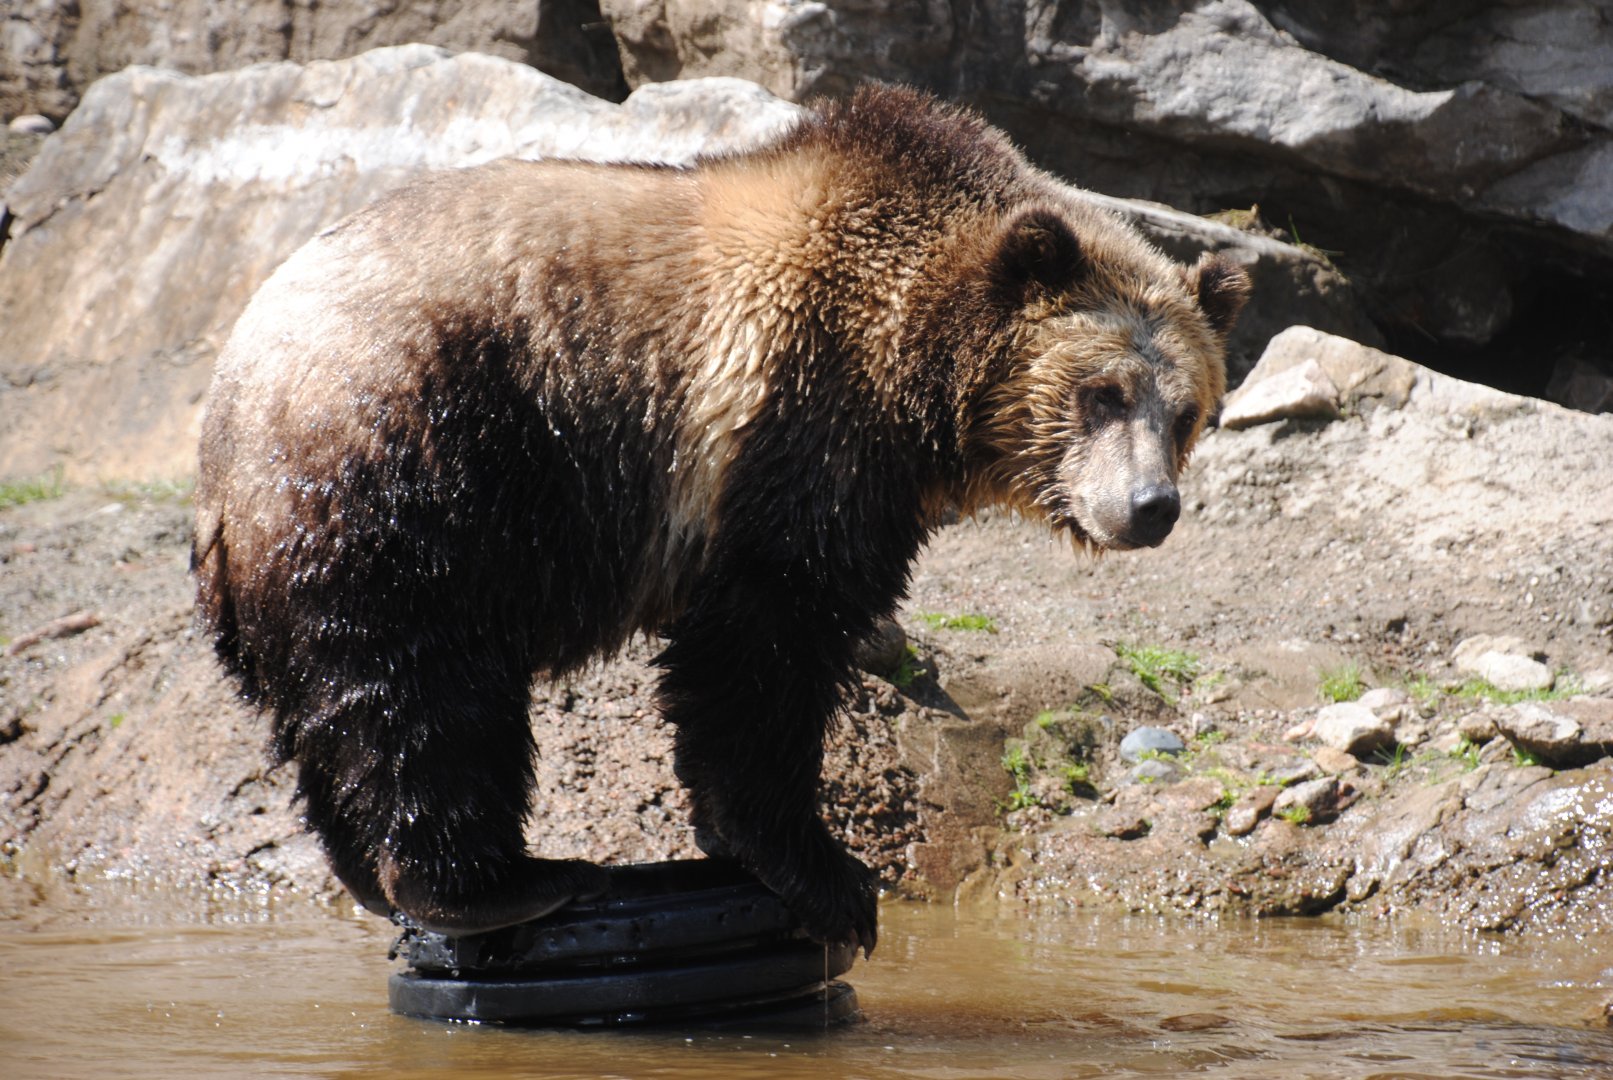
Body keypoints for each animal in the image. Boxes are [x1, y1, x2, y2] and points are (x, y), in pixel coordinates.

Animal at [192, 84, 1249, 956]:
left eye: (1186, 410)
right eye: (1100, 394)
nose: (1148, 508)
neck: (915, 365)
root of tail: (230, 404)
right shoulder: (793, 424)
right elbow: (768, 642)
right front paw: (823, 874)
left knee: (332, 705)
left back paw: (376, 874)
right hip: (413, 467)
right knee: (420, 687)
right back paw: (492, 881)